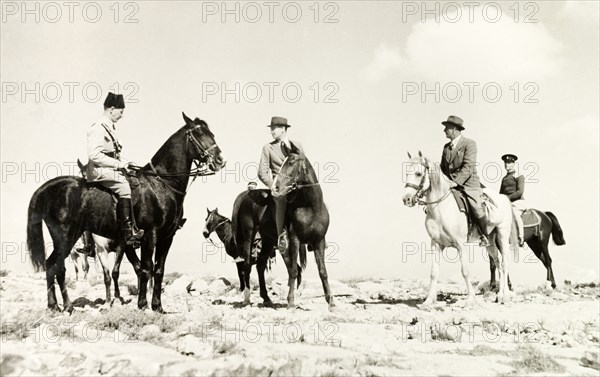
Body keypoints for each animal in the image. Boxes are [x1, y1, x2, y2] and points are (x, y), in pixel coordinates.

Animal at [26, 113, 225, 312]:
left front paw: (157, 307)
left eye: (212, 133)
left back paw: (57, 306)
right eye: (199, 134)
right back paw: (64, 306)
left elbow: (158, 271)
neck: (161, 184)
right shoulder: (149, 235)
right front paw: (143, 304)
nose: (220, 161)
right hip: (65, 237)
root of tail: (47, 187)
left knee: (52, 265)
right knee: (56, 266)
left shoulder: (166, 238)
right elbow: (145, 269)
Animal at [270, 144, 336, 308]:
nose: (275, 188)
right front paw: (291, 302)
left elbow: (322, 271)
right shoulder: (294, 240)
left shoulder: (319, 241)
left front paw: (331, 302)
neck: (311, 207)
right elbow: (293, 271)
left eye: (291, 162)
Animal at [404, 151, 516, 304]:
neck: (441, 209)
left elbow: (465, 271)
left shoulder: (461, 245)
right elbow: (434, 272)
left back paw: (505, 296)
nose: (406, 199)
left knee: (504, 265)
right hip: (490, 243)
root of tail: (504, 198)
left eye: (418, 174)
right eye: (406, 173)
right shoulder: (436, 244)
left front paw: (470, 299)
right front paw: (429, 300)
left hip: (502, 237)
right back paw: (499, 295)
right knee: (498, 265)